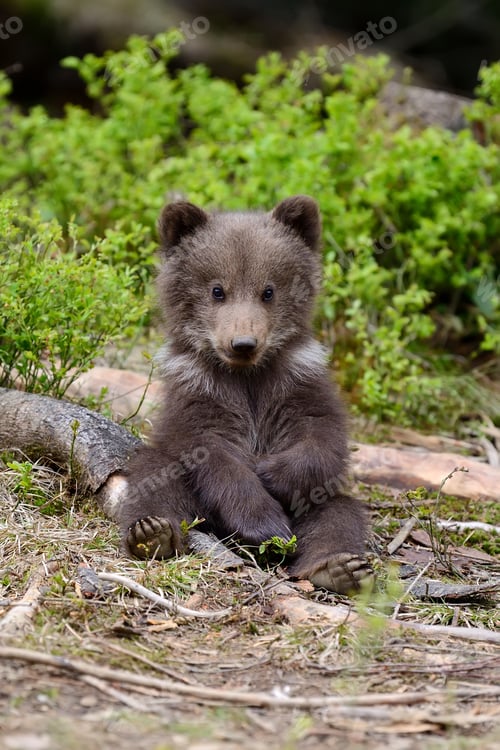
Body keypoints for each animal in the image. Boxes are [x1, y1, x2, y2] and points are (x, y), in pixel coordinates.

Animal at [118, 195, 372, 594]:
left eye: (268, 290)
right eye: (217, 290)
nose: (243, 343)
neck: (246, 376)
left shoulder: (298, 382)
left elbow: (321, 437)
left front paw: (268, 472)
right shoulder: (197, 394)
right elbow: (212, 455)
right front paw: (263, 522)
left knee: (339, 513)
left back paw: (338, 567)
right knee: (153, 473)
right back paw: (153, 533)